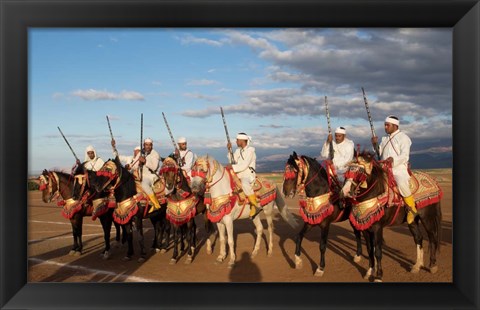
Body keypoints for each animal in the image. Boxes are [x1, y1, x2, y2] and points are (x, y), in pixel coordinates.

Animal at [340, 151, 440, 282]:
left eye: (360, 172)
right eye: (348, 171)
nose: (345, 191)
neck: (375, 193)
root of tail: (433, 181)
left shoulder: (377, 228)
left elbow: (378, 251)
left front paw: (378, 276)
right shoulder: (366, 228)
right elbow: (370, 250)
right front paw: (369, 272)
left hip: (427, 217)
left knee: (432, 237)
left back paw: (432, 265)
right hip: (413, 221)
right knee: (418, 238)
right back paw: (417, 266)